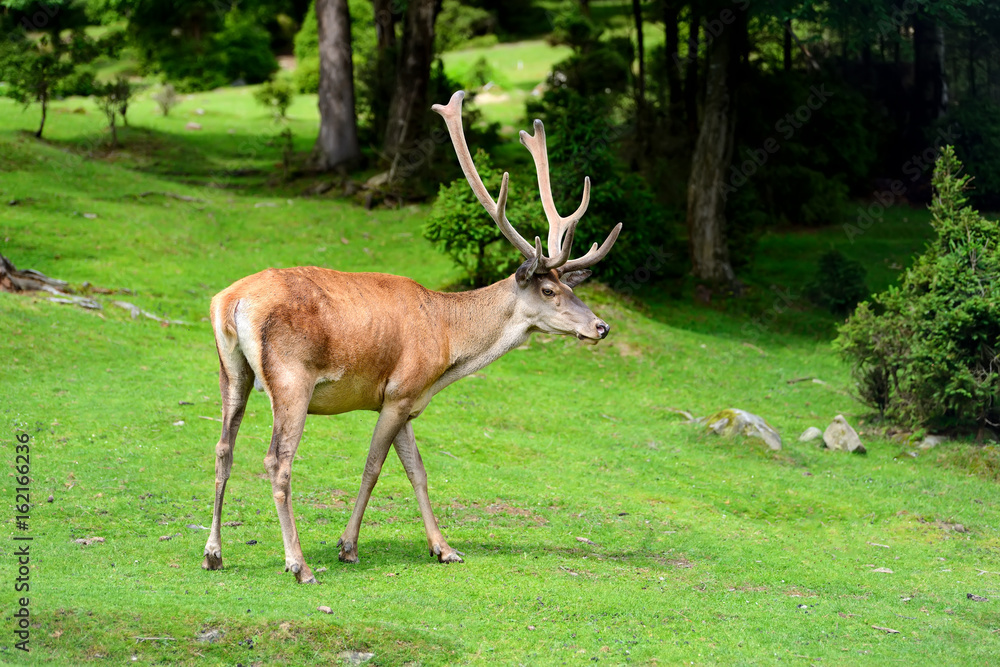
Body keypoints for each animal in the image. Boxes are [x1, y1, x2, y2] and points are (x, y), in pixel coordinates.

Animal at [201, 91, 624, 580]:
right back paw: (299, 563)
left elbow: (418, 470)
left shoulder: (406, 400)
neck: (448, 347)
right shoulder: (401, 390)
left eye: (574, 288)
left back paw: (213, 553)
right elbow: (373, 466)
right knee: (277, 460)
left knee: (223, 447)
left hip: (232, 370)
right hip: (291, 379)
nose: (601, 326)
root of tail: (231, 301)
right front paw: (348, 546)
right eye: (549, 290)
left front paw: (445, 548)